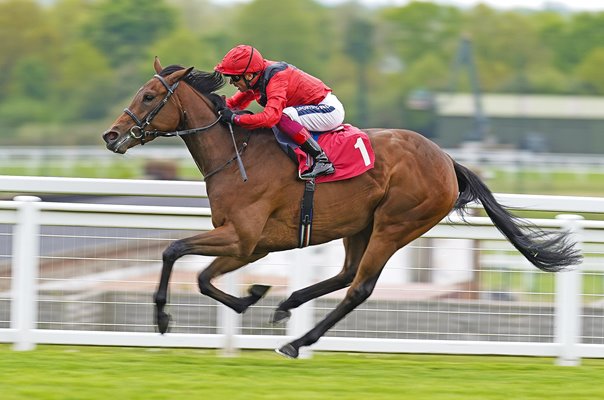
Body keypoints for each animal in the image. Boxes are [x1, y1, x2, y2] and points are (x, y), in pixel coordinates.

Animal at [102, 57, 580, 360]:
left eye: (149, 96)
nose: (111, 135)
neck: (236, 154)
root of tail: (448, 161)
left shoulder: (242, 237)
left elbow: (175, 252)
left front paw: (165, 316)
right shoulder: (251, 245)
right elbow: (201, 276)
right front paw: (252, 296)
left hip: (395, 224)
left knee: (359, 287)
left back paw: (297, 341)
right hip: (359, 225)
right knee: (347, 273)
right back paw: (288, 304)